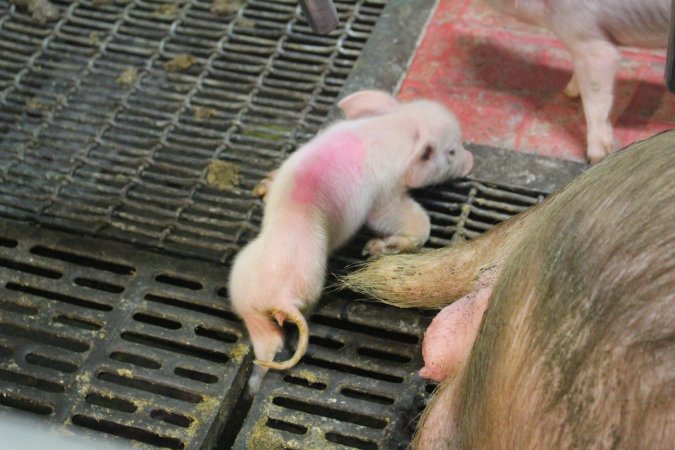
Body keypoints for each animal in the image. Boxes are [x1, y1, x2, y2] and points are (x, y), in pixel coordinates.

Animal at [228, 90, 474, 393]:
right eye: (451, 151)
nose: (471, 158)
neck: (397, 127)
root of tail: (278, 296)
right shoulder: (385, 194)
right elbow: (408, 219)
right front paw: (374, 248)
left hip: (243, 287)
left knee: (265, 338)